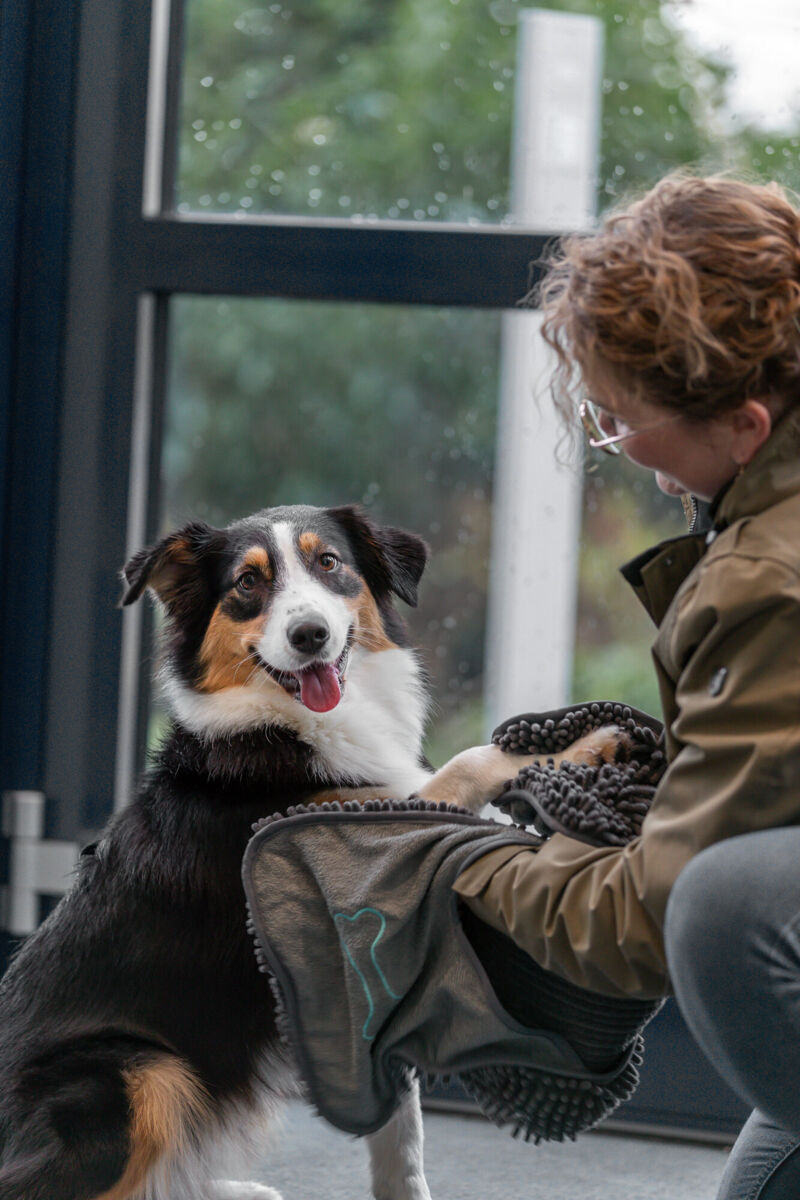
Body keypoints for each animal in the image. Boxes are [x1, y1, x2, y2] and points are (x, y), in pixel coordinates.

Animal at [0, 503, 620, 1200]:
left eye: (329, 562)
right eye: (247, 582)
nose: (310, 635)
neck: (291, 725)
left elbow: (401, 1128)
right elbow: (465, 764)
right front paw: (583, 743)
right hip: (135, 1075)